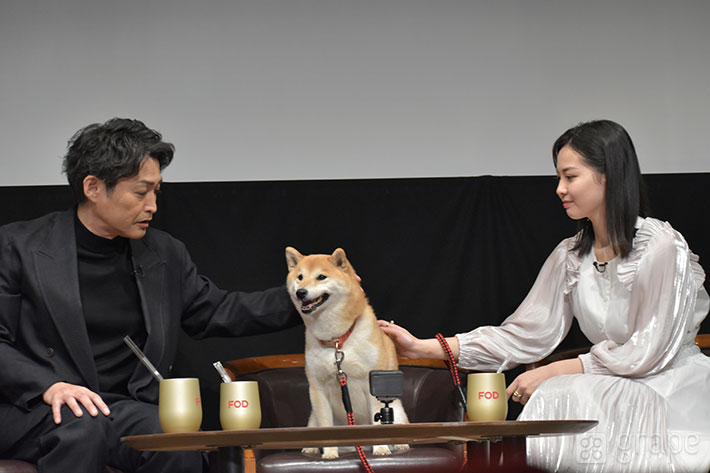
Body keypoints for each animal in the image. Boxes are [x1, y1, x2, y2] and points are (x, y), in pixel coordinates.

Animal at [282, 247, 406, 458]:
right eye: (300, 277)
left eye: (321, 277)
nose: (301, 292)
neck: (336, 340)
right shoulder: (318, 388)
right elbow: (326, 426)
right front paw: (330, 453)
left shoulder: (371, 383)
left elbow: (377, 422)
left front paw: (380, 448)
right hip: (313, 416)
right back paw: (311, 448)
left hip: (396, 410)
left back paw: (399, 445)